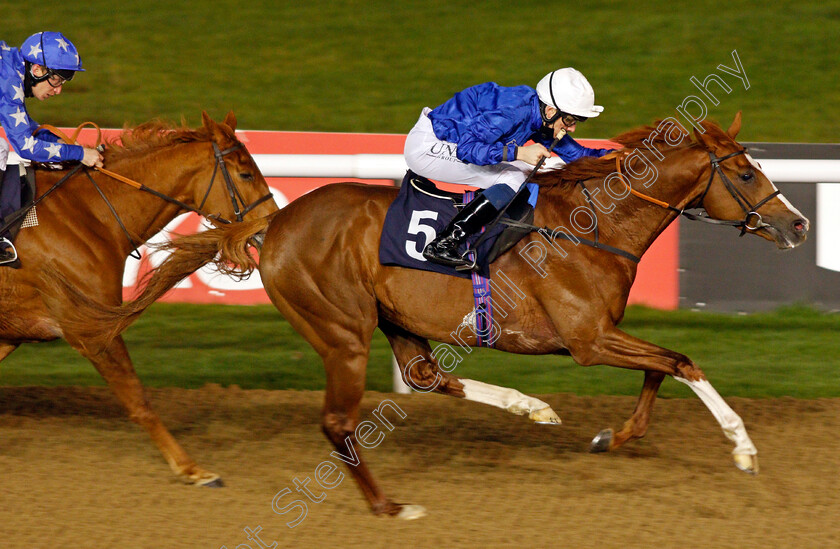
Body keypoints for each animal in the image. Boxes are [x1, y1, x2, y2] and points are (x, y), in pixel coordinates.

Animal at [2, 110, 278, 484]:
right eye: (246, 173)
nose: (273, 223)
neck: (90, 214)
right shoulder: (90, 329)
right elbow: (138, 399)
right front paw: (191, 468)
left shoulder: (15, 330)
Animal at [57, 113, 808, 516]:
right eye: (745, 171)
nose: (798, 223)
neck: (593, 226)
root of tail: (275, 224)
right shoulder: (590, 339)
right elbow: (682, 361)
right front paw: (742, 447)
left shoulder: (600, 336)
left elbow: (663, 369)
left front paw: (612, 436)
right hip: (342, 329)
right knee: (339, 420)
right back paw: (388, 506)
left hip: (393, 316)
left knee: (423, 375)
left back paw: (530, 406)